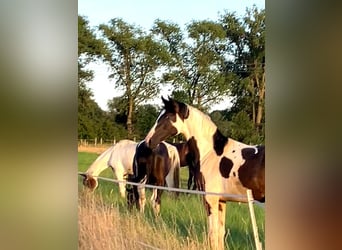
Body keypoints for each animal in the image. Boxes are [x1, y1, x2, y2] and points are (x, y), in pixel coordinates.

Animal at [144, 97, 264, 250]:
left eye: (167, 117)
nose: (148, 141)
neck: (211, 153)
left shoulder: (210, 200)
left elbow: (212, 235)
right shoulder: (221, 201)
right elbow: (220, 234)